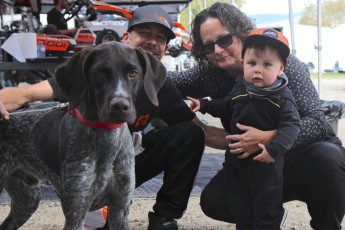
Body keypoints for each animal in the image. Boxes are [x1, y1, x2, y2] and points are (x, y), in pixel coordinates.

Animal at [0, 41, 167, 230]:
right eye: (99, 73)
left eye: (133, 73)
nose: (119, 106)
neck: (107, 137)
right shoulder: (76, 211)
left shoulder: (120, 210)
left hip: (28, 199)